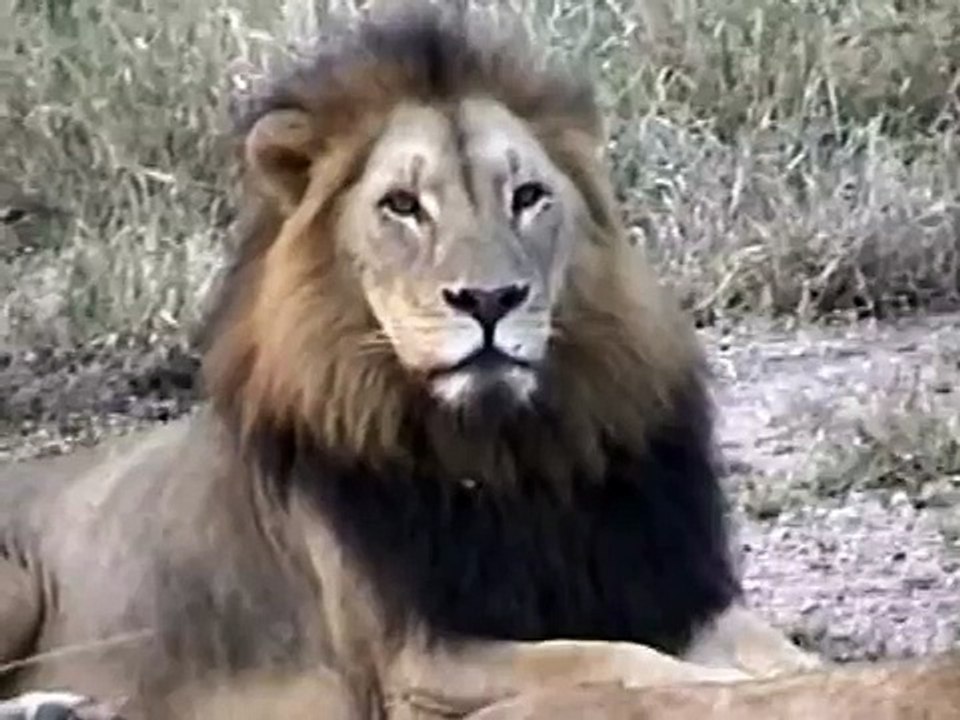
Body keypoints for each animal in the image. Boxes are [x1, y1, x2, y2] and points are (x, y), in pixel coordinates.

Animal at [0, 4, 822, 719]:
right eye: (401, 205)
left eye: (528, 196)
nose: (489, 299)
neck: (511, 457)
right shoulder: (416, 664)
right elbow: (609, 659)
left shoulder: (671, 591)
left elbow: (779, 656)